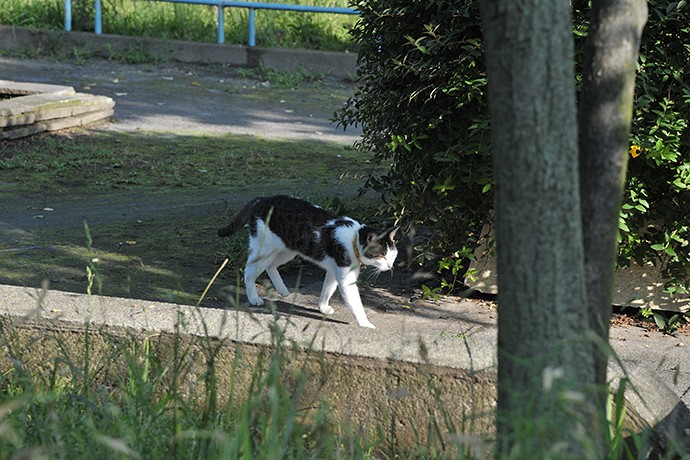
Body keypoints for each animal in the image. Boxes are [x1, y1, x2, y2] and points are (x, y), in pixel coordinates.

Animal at [215, 196, 398, 328]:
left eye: (392, 255)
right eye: (382, 255)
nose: (390, 266)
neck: (352, 239)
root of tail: (261, 199)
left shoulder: (334, 270)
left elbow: (327, 290)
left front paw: (323, 307)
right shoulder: (345, 278)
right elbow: (355, 303)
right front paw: (365, 323)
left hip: (287, 250)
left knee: (271, 266)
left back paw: (282, 290)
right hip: (265, 249)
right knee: (249, 271)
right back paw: (254, 297)